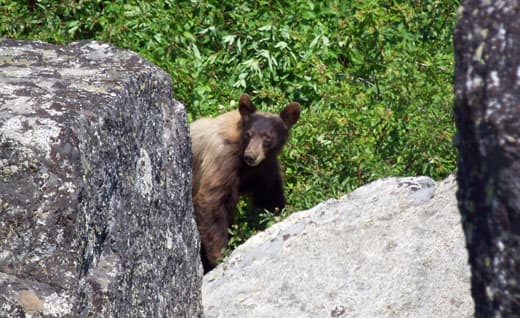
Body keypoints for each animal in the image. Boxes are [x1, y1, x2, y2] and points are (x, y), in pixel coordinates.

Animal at [190, 93, 300, 272]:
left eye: (268, 137)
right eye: (249, 134)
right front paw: (220, 257)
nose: (251, 156)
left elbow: (269, 198)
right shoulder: (222, 158)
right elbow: (210, 200)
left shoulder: (266, 167)